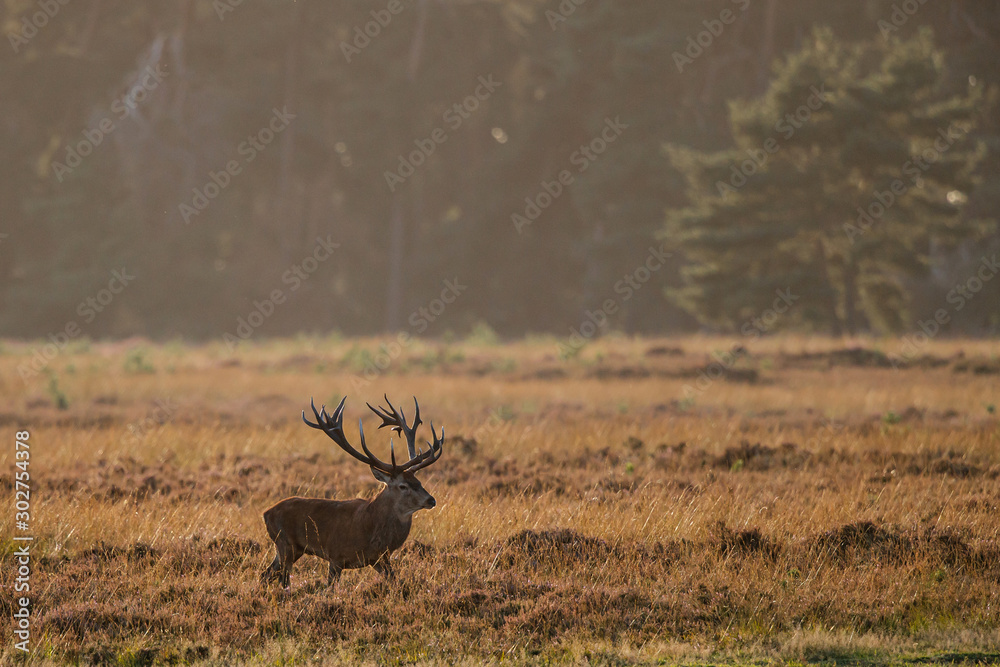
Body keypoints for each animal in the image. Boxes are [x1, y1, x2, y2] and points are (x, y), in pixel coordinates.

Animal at [261, 395, 444, 589]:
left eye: (419, 481)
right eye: (403, 486)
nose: (431, 500)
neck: (371, 530)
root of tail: (266, 514)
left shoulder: (379, 558)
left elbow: (394, 580)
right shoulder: (336, 555)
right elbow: (330, 587)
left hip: (290, 549)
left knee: (265, 574)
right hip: (285, 544)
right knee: (283, 578)